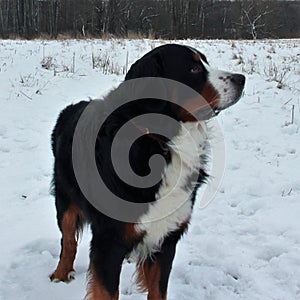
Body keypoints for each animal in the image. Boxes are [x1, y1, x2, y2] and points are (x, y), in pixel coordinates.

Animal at [49, 42, 246, 300]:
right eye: (193, 69)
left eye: (205, 61)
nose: (241, 79)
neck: (162, 143)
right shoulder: (108, 242)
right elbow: (107, 290)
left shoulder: (168, 237)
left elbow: (158, 290)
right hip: (65, 198)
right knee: (68, 240)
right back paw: (60, 274)